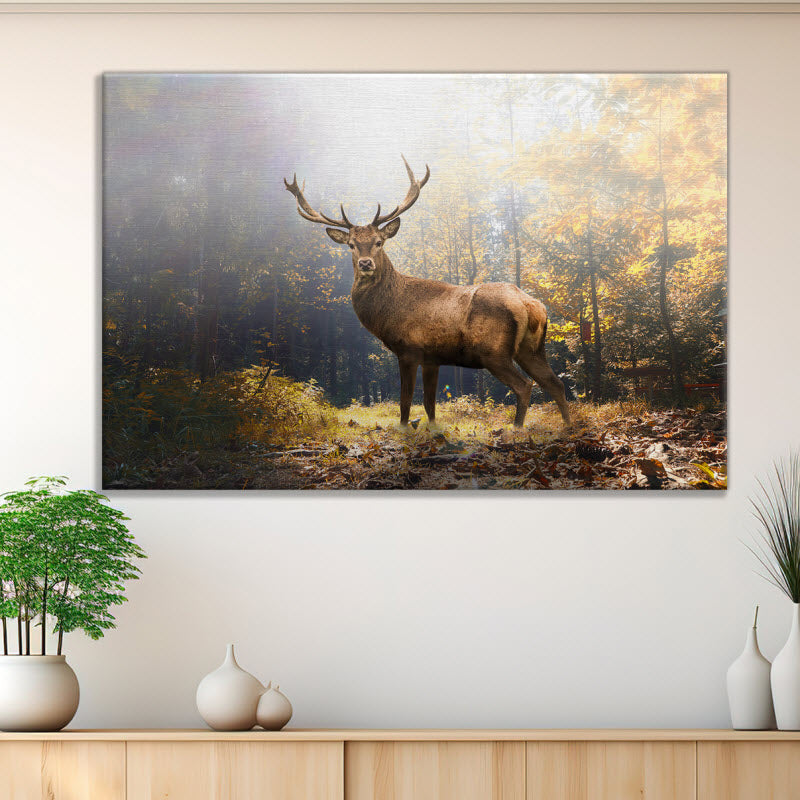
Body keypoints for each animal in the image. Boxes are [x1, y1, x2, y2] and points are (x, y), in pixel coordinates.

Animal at [284, 157, 571, 430]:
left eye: (379, 242)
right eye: (352, 245)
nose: (366, 263)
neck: (387, 313)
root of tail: (530, 304)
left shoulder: (409, 349)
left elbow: (405, 401)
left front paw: (403, 429)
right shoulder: (433, 358)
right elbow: (430, 403)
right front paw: (431, 428)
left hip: (494, 351)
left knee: (525, 385)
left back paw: (517, 428)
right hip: (531, 348)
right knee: (555, 383)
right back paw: (568, 426)